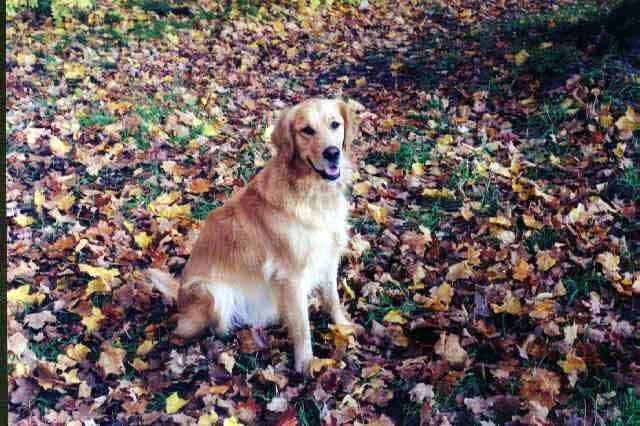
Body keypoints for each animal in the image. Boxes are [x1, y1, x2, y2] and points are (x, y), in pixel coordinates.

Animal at [149, 97, 360, 372]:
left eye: (335, 124)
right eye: (307, 130)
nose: (332, 152)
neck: (313, 193)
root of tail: (179, 293)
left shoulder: (328, 256)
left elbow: (332, 298)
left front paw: (342, 326)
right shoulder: (291, 275)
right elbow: (302, 326)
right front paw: (306, 364)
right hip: (212, 291)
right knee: (203, 328)